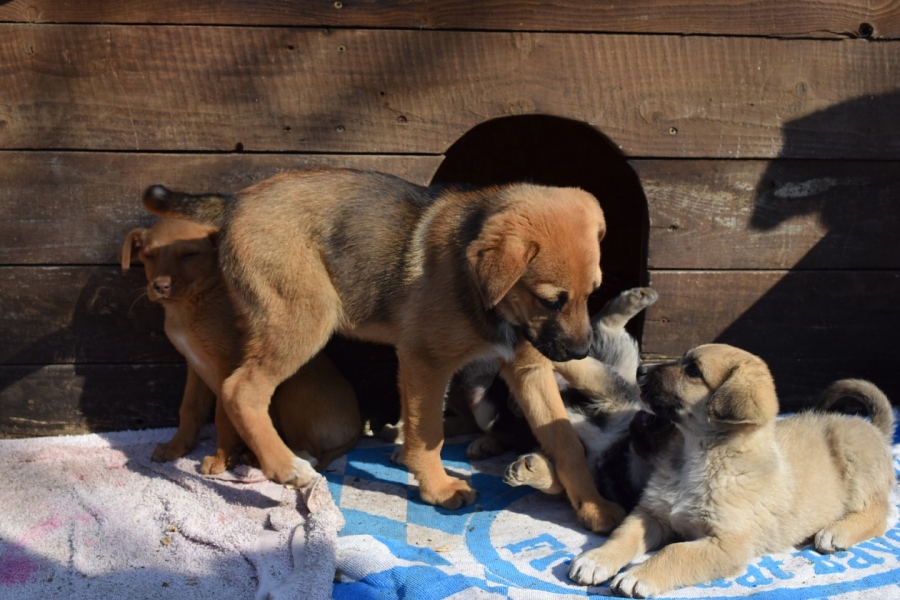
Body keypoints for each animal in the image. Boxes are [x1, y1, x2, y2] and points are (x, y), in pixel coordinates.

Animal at [121, 218, 360, 472]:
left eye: (189, 255)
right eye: (149, 255)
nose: (161, 286)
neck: (193, 303)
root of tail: (356, 429)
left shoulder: (227, 367)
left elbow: (223, 416)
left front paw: (221, 458)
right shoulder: (195, 367)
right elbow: (189, 409)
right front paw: (176, 448)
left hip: (293, 388)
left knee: (308, 450)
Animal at [568, 342, 892, 596]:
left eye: (693, 371)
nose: (640, 371)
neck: (698, 456)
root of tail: (872, 426)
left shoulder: (727, 544)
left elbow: (675, 552)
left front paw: (639, 575)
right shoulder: (651, 514)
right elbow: (623, 536)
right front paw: (596, 559)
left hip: (853, 455)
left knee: (879, 514)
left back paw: (837, 532)